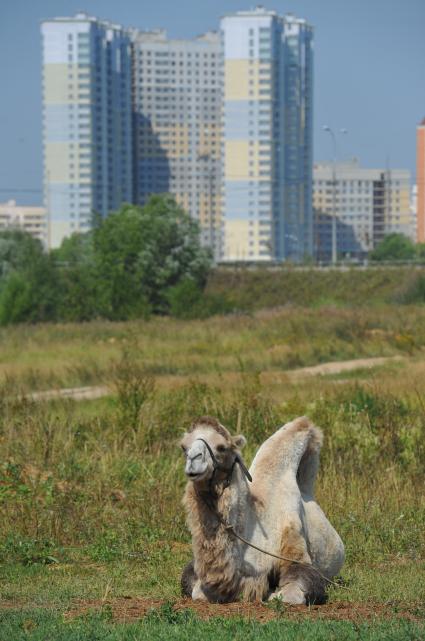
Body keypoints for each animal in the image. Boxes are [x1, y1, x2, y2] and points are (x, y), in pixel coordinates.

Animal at [180, 412, 344, 604]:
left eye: (222, 447)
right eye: (184, 447)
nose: (193, 461)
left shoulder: (293, 546)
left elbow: (291, 593)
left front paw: (274, 593)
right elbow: (197, 590)